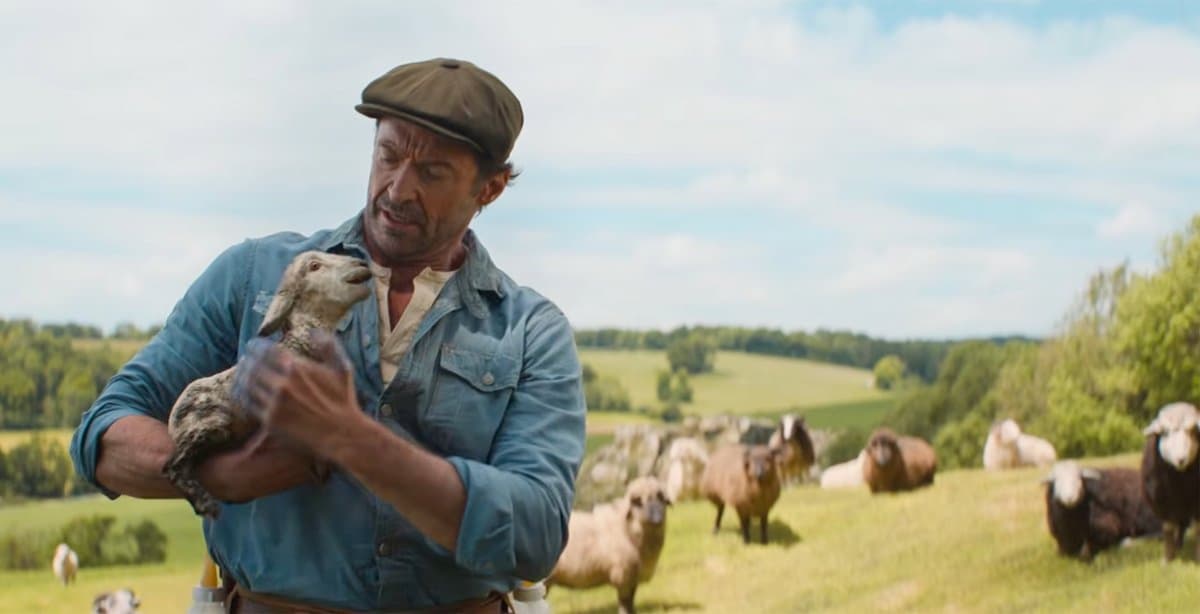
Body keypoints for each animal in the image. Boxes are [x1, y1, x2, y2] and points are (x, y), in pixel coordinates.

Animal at [162, 250, 372, 518]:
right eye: (314, 266)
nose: (362, 264)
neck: (303, 339)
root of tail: (173, 420)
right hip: (209, 425)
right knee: (173, 466)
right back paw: (205, 503)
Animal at [549, 477, 671, 614]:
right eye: (638, 502)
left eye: (661, 498)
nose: (657, 518)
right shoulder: (623, 575)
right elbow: (625, 601)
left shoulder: (632, 577)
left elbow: (631, 600)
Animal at [1140, 401, 1200, 562]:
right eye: (1165, 432)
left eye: (1192, 431)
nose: (1181, 459)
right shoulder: (1161, 503)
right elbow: (1168, 529)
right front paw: (1168, 558)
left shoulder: (1196, 503)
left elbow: (1197, 528)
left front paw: (1198, 556)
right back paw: (1177, 546)